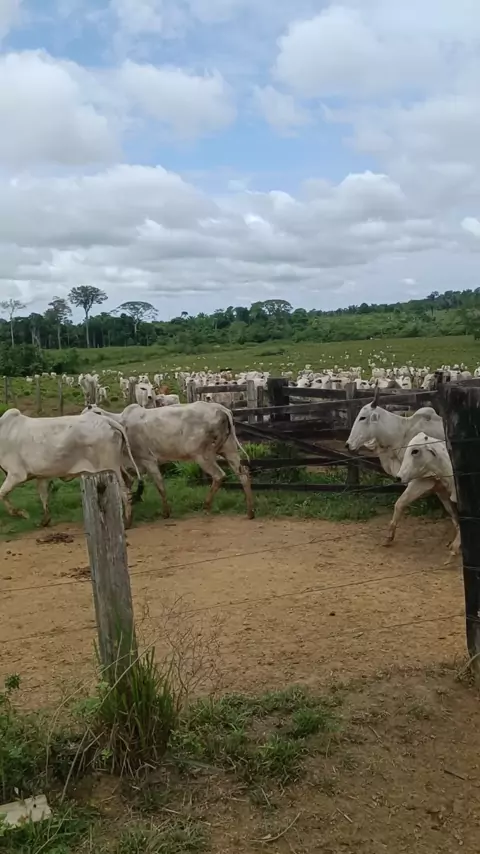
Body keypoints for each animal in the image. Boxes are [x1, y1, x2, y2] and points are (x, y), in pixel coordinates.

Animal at [0, 409, 141, 528]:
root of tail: (107, 420)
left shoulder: (16, 474)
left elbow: (2, 493)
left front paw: (22, 513)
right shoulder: (41, 475)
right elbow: (44, 497)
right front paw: (45, 521)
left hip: (110, 466)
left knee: (124, 491)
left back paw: (127, 521)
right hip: (118, 465)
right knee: (129, 481)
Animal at [84, 401, 254, 519]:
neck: (122, 425)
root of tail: (221, 409)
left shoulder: (148, 460)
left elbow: (160, 486)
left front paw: (166, 512)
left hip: (203, 455)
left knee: (219, 476)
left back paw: (206, 506)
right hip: (229, 450)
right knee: (243, 474)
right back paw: (250, 511)